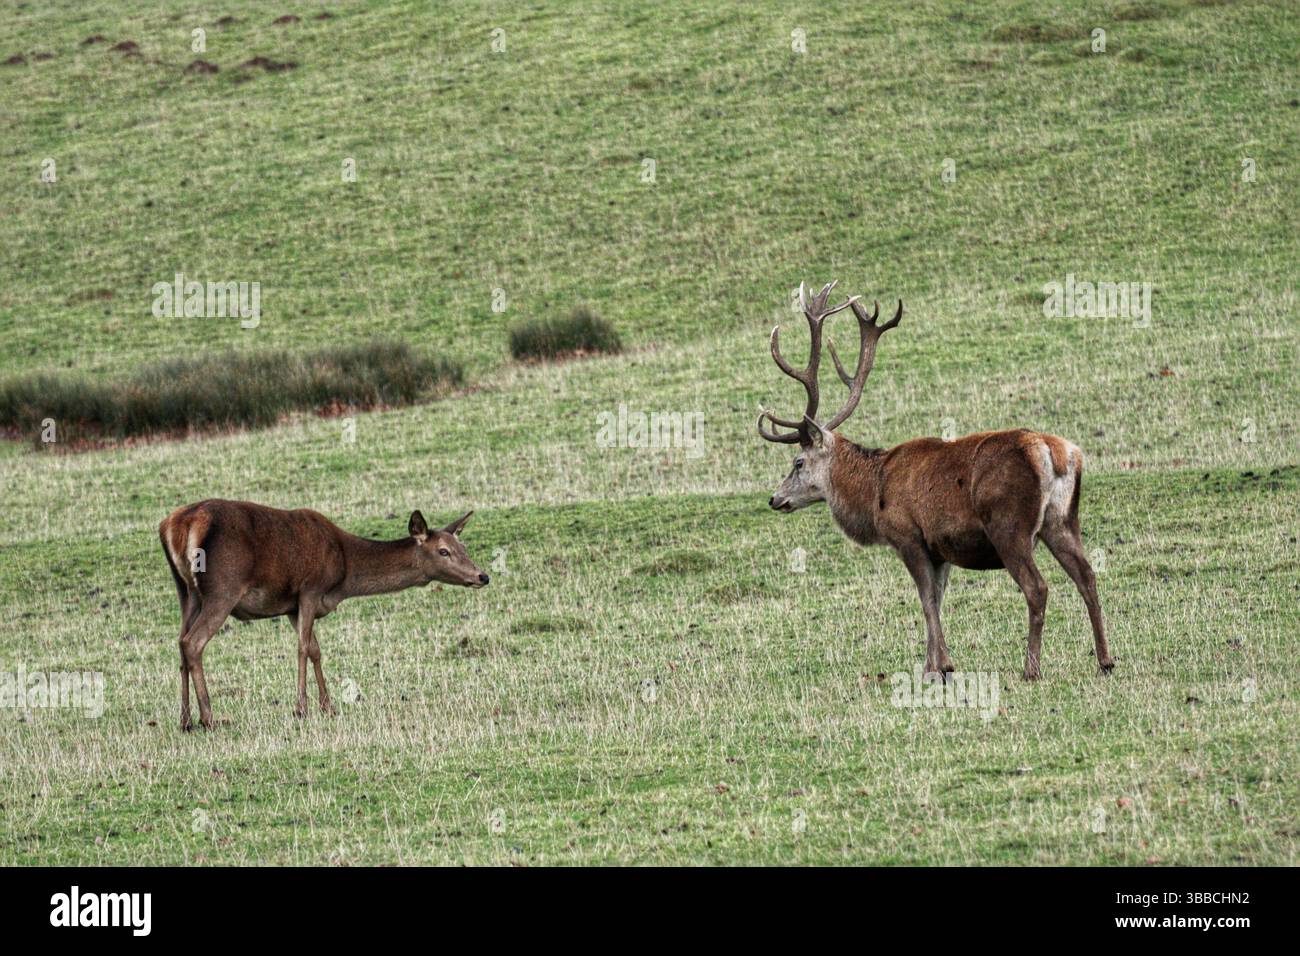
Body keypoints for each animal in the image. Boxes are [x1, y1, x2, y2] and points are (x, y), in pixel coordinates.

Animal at [159, 499, 489, 731]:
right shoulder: (309, 588)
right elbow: (303, 647)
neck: (342, 575)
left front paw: (328, 706)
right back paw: (209, 718)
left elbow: (316, 650)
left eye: (463, 546)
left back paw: (185, 720)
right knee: (193, 642)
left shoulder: (293, 606)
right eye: (443, 551)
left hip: (186, 591)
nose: (482, 576)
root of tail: (177, 526)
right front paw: (301, 708)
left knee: (180, 642)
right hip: (222, 588)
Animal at [758, 282, 1113, 682]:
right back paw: (1105, 659)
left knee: (1037, 587)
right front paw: (933, 664)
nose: (775, 498)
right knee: (1088, 576)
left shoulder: (908, 535)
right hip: (1062, 520)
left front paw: (939, 667)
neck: (874, 491)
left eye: (798, 462)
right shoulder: (940, 548)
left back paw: (1031, 668)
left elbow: (927, 598)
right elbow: (938, 599)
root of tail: (1056, 453)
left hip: (1010, 526)